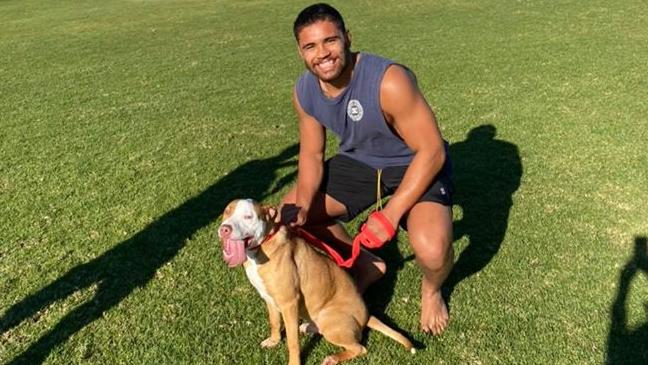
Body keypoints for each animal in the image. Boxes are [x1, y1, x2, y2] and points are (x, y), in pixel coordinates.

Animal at [216, 199, 410, 364]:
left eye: (248, 217)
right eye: (226, 212)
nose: (224, 229)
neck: (263, 245)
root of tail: (367, 316)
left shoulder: (289, 303)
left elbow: (292, 342)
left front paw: (293, 362)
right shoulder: (269, 298)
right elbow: (274, 322)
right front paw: (274, 341)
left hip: (329, 319)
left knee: (360, 348)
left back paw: (333, 358)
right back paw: (308, 327)